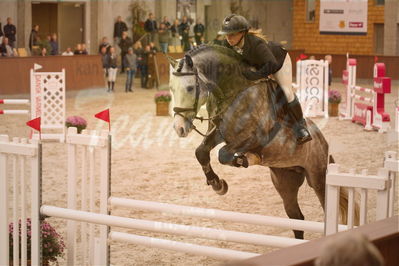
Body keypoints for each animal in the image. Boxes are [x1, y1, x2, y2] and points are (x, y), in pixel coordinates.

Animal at [167, 45, 348, 239]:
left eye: (190, 88)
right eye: (171, 88)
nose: (179, 128)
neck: (233, 91)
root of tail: (323, 142)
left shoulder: (256, 137)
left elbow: (223, 154)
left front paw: (244, 160)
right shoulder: (219, 133)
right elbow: (201, 152)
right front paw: (218, 184)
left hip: (319, 180)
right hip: (285, 182)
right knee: (297, 219)